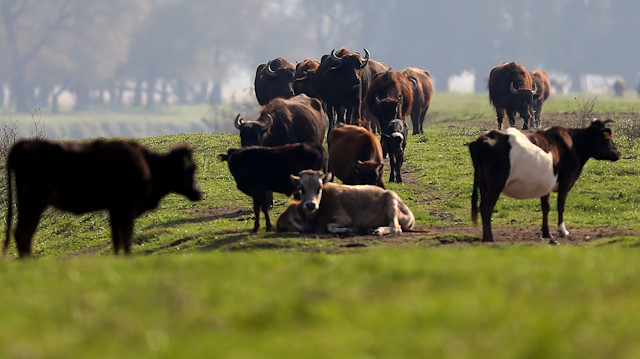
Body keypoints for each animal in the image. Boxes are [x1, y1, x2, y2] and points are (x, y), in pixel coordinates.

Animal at [3, 139, 201, 258]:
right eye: (192, 168)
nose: (198, 193)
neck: (149, 164)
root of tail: (23, 145)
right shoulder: (126, 208)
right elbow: (126, 236)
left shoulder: (115, 209)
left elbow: (117, 238)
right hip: (35, 202)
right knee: (24, 233)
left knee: (22, 233)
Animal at [282, 169, 416, 236]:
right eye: (302, 188)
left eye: (319, 188)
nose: (311, 204)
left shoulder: (344, 219)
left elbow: (330, 226)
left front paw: (350, 230)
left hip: (392, 204)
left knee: (396, 227)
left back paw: (379, 230)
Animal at [468, 119, 624, 246]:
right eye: (609, 139)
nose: (618, 153)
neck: (573, 144)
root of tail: (485, 138)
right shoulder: (566, 180)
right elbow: (561, 205)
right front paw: (563, 230)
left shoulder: (546, 184)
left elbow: (546, 207)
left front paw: (546, 233)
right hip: (495, 184)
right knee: (486, 207)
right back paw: (489, 238)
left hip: (483, 184)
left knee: (482, 206)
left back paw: (485, 236)